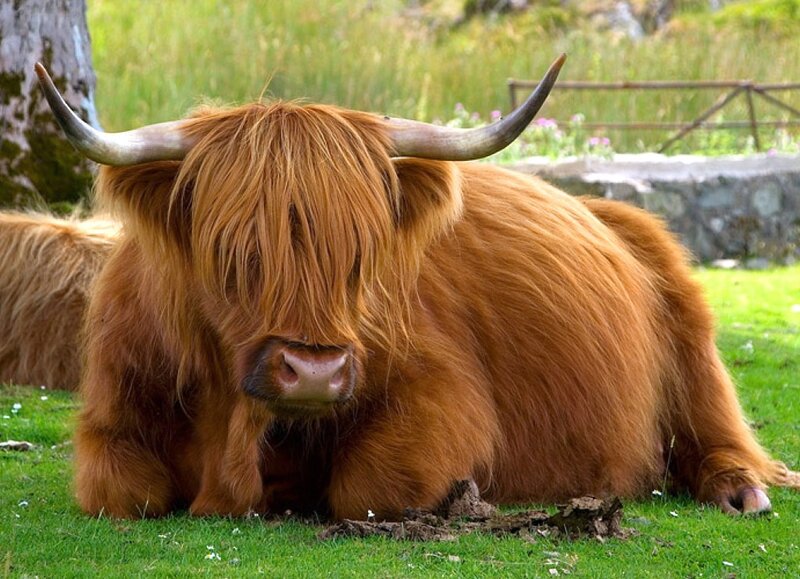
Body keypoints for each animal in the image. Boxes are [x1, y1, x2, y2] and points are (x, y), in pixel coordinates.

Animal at [36, 56, 798, 520]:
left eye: (362, 252)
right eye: (233, 252)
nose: (314, 369)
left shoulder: (444, 401)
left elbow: (370, 486)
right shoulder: (112, 414)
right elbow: (120, 489)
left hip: (690, 331)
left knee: (716, 424)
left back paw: (742, 489)